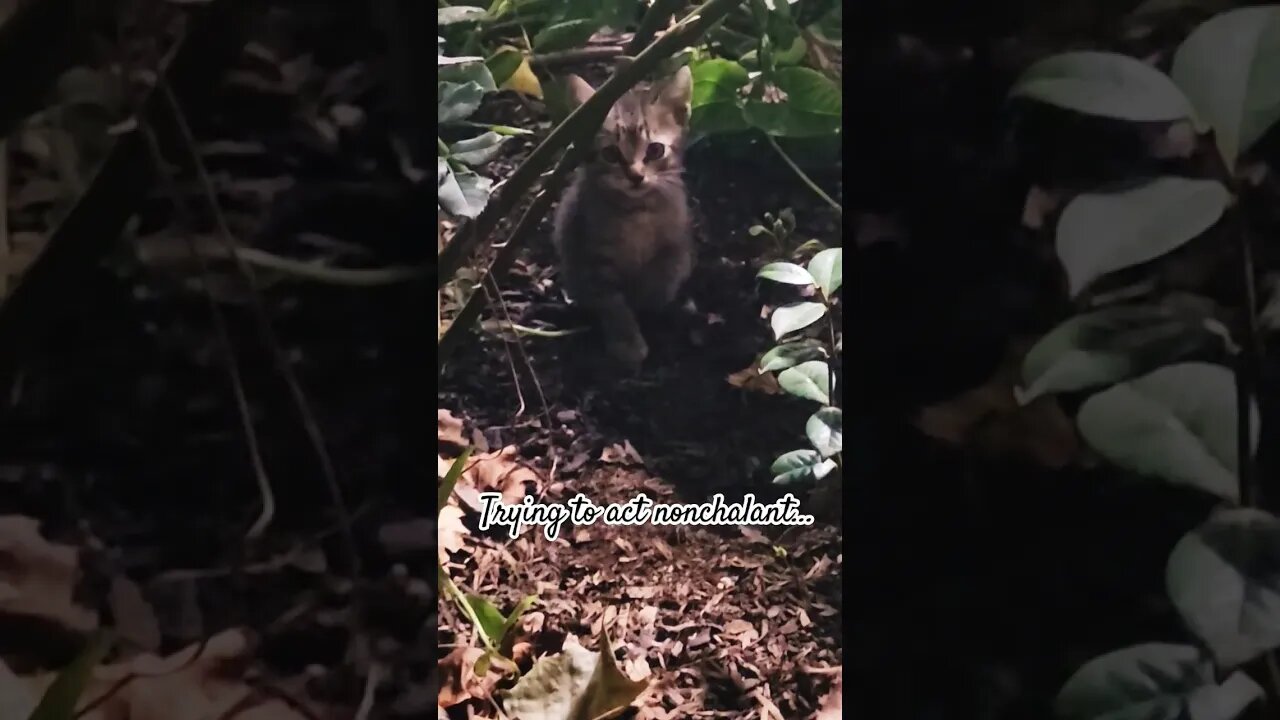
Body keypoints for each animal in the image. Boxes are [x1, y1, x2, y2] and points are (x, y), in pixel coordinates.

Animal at [550, 65, 691, 368]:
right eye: (611, 154)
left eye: (655, 150)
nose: (636, 176)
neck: (636, 212)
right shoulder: (593, 258)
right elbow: (613, 303)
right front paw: (627, 340)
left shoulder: (671, 247)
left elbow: (659, 279)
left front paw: (650, 306)